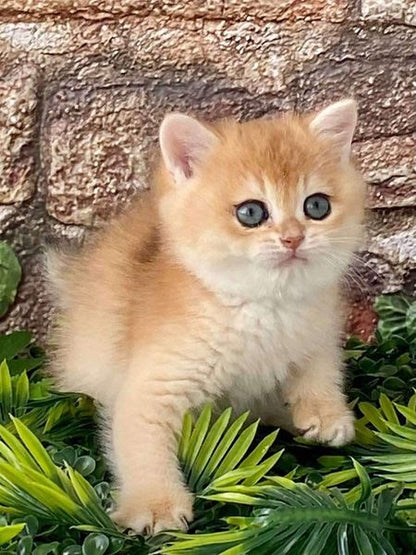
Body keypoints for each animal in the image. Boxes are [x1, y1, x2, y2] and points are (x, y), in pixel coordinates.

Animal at [47, 99, 368, 536]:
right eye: (251, 212)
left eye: (316, 206)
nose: (293, 238)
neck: (263, 304)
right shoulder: (153, 387)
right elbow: (141, 445)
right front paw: (155, 504)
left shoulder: (320, 329)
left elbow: (321, 368)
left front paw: (325, 412)